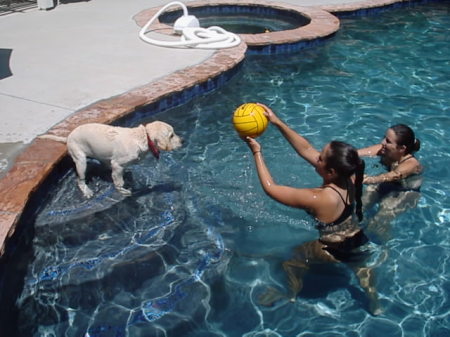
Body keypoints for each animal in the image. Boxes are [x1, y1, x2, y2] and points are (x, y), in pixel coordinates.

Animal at [39, 121, 182, 197]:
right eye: (171, 135)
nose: (183, 141)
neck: (142, 137)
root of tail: (68, 137)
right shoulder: (117, 164)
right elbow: (119, 183)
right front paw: (124, 190)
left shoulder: (115, 164)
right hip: (80, 160)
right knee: (80, 180)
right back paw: (87, 191)